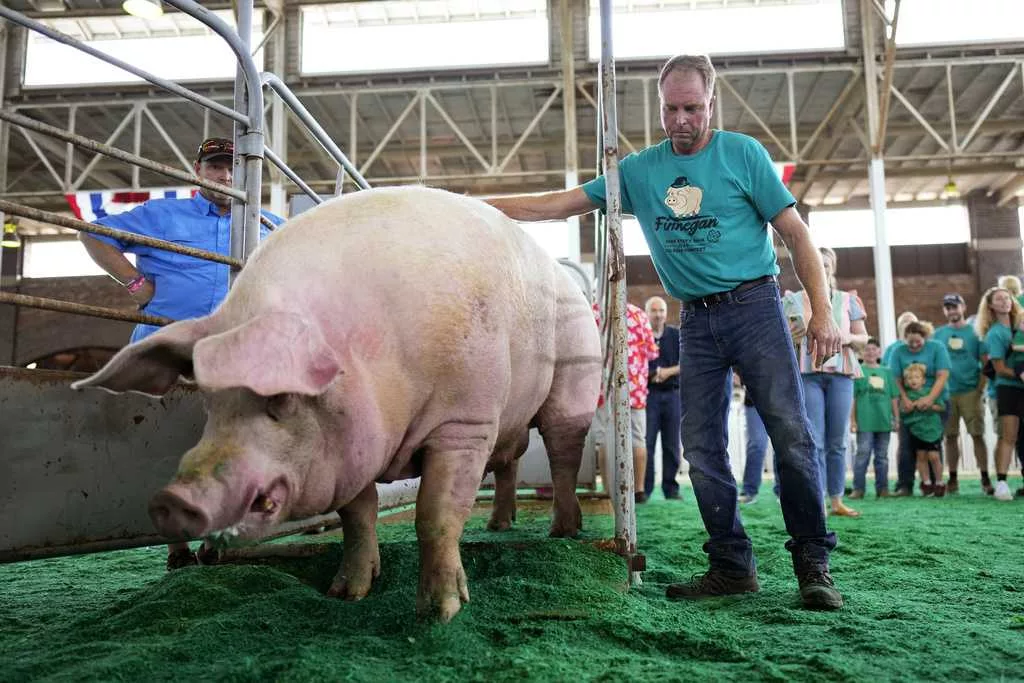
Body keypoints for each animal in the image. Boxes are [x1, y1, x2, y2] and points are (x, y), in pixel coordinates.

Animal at [75, 184, 602, 622]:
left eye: (281, 396)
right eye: (209, 398)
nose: (171, 500)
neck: (380, 358)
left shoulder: (465, 420)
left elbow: (435, 514)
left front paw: (440, 613)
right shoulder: (351, 449)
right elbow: (358, 515)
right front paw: (346, 594)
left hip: (575, 381)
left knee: (563, 453)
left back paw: (562, 532)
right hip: (510, 420)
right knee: (511, 461)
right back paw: (498, 524)